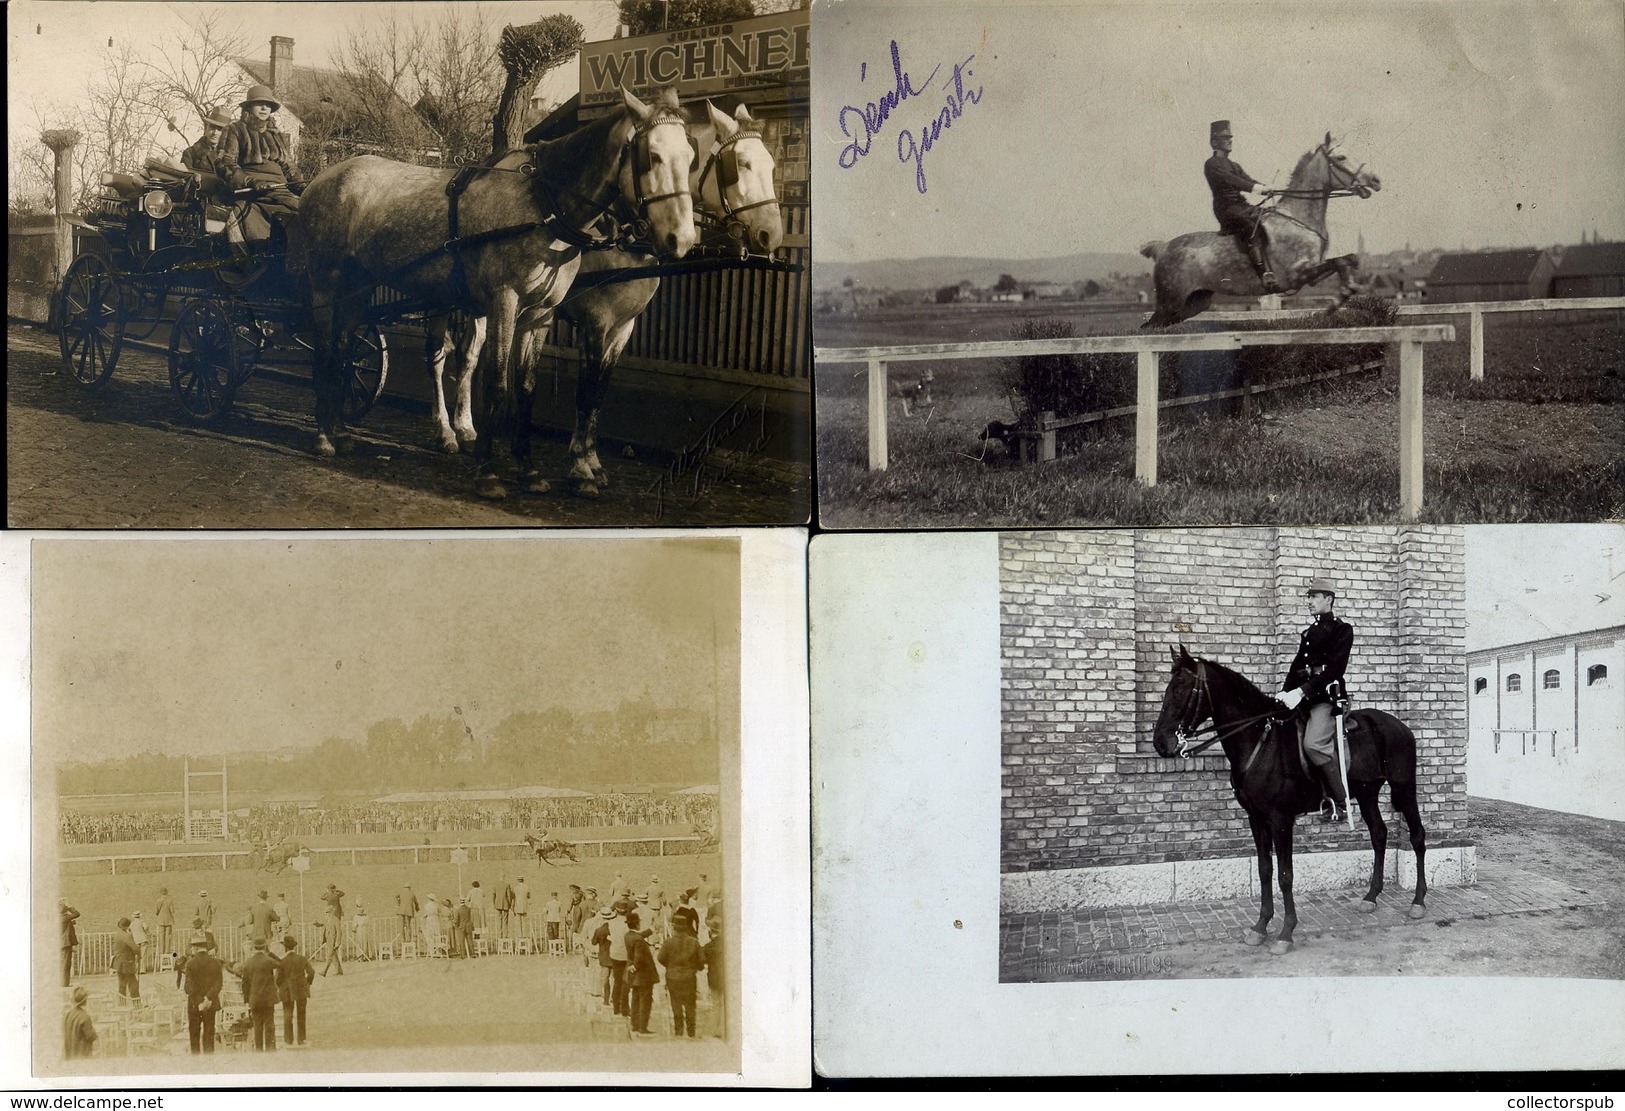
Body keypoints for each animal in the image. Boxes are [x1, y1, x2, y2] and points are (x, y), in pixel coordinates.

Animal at [302, 88, 695, 497]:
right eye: (652, 156)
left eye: (691, 157)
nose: (681, 239)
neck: (542, 205)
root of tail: (321, 179)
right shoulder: (513, 304)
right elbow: (499, 384)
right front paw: (491, 472)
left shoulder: (542, 314)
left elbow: (528, 387)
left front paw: (529, 467)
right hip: (326, 283)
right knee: (330, 349)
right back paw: (326, 437)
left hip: (360, 289)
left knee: (348, 350)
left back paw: (344, 430)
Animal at [422, 99, 783, 500]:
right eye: (740, 165)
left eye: (770, 164)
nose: (771, 233)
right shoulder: (596, 320)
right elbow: (587, 389)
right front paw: (581, 468)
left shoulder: (622, 326)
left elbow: (598, 391)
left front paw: (591, 460)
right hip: (442, 301)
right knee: (437, 360)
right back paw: (444, 431)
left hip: (481, 306)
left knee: (468, 357)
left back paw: (466, 427)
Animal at [1144, 134, 1384, 324]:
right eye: (1341, 158)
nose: (1375, 180)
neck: (1298, 219)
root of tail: (1162, 248)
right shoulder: (1298, 273)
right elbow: (1341, 261)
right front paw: (1332, 305)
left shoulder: (1313, 274)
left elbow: (1348, 259)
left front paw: (1344, 294)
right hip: (1170, 303)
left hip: (1193, 303)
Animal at [1150, 643, 1430, 955]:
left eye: (1180, 688)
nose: (1160, 742)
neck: (1260, 741)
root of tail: (1400, 726)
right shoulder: (1256, 818)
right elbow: (1265, 870)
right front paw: (1260, 926)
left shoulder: (1280, 819)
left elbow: (1285, 875)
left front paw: (1286, 932)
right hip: (1367, 793)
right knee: (1379, 835)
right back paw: (1371, 897)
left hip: (1404, 787)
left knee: (1417, 835)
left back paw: (1418, 901)